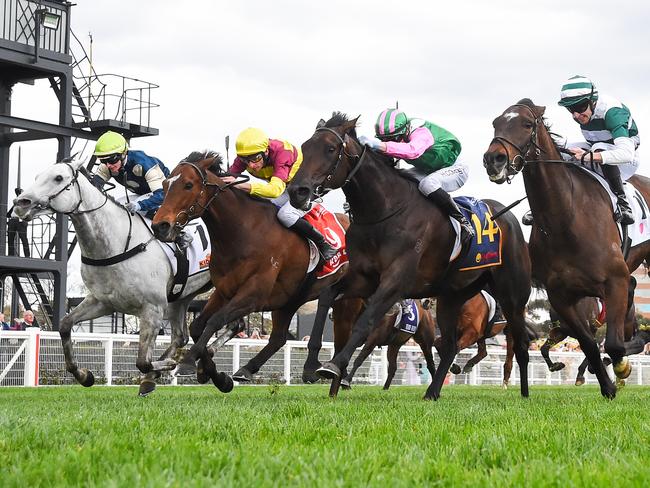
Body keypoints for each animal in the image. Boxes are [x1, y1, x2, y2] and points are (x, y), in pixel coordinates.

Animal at [12, 158, 213, 394]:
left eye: (58, 178)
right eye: (37, 177)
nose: (21, 202)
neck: (116, 244)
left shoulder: (153, 309)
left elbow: (143, 361)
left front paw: (168, 365)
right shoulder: (103, 302)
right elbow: (64, 325)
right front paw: (84, 375)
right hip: (181, 297)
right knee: (181, 336)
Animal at [151, 151, 354, 390]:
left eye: (188, 185)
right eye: (165, 185)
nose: (160, 226)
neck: (243, 232)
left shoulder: (253, 295)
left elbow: (215, 321)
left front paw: (189, 362)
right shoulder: (224, 292)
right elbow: (198, 326)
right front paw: (214, 375)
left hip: (344, 293)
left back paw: (319, 369)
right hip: (290, 299)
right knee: (279, 338)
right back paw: (247, 369)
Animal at [288, 113, 532, 400]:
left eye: (330, 148)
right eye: (305, 147)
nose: (297, 191)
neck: (383, 211)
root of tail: (507, 216)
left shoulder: (395, 281)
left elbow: (366, 321)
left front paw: (335, 366)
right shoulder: (363, 278)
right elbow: (327, 296)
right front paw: (311, 364)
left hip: (512, 296)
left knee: (520, 344)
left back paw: (524, 393)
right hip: (452, 296)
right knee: (449, 345)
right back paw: (432, 392)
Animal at [480, 98, 648, 396]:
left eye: (527, 124)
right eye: (496, 123)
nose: (493, 159)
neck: (565, 217)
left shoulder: (613, 280)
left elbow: (613, 344)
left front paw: (621, 366)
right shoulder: (561, 296)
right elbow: (590, 345)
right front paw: (607, 386)